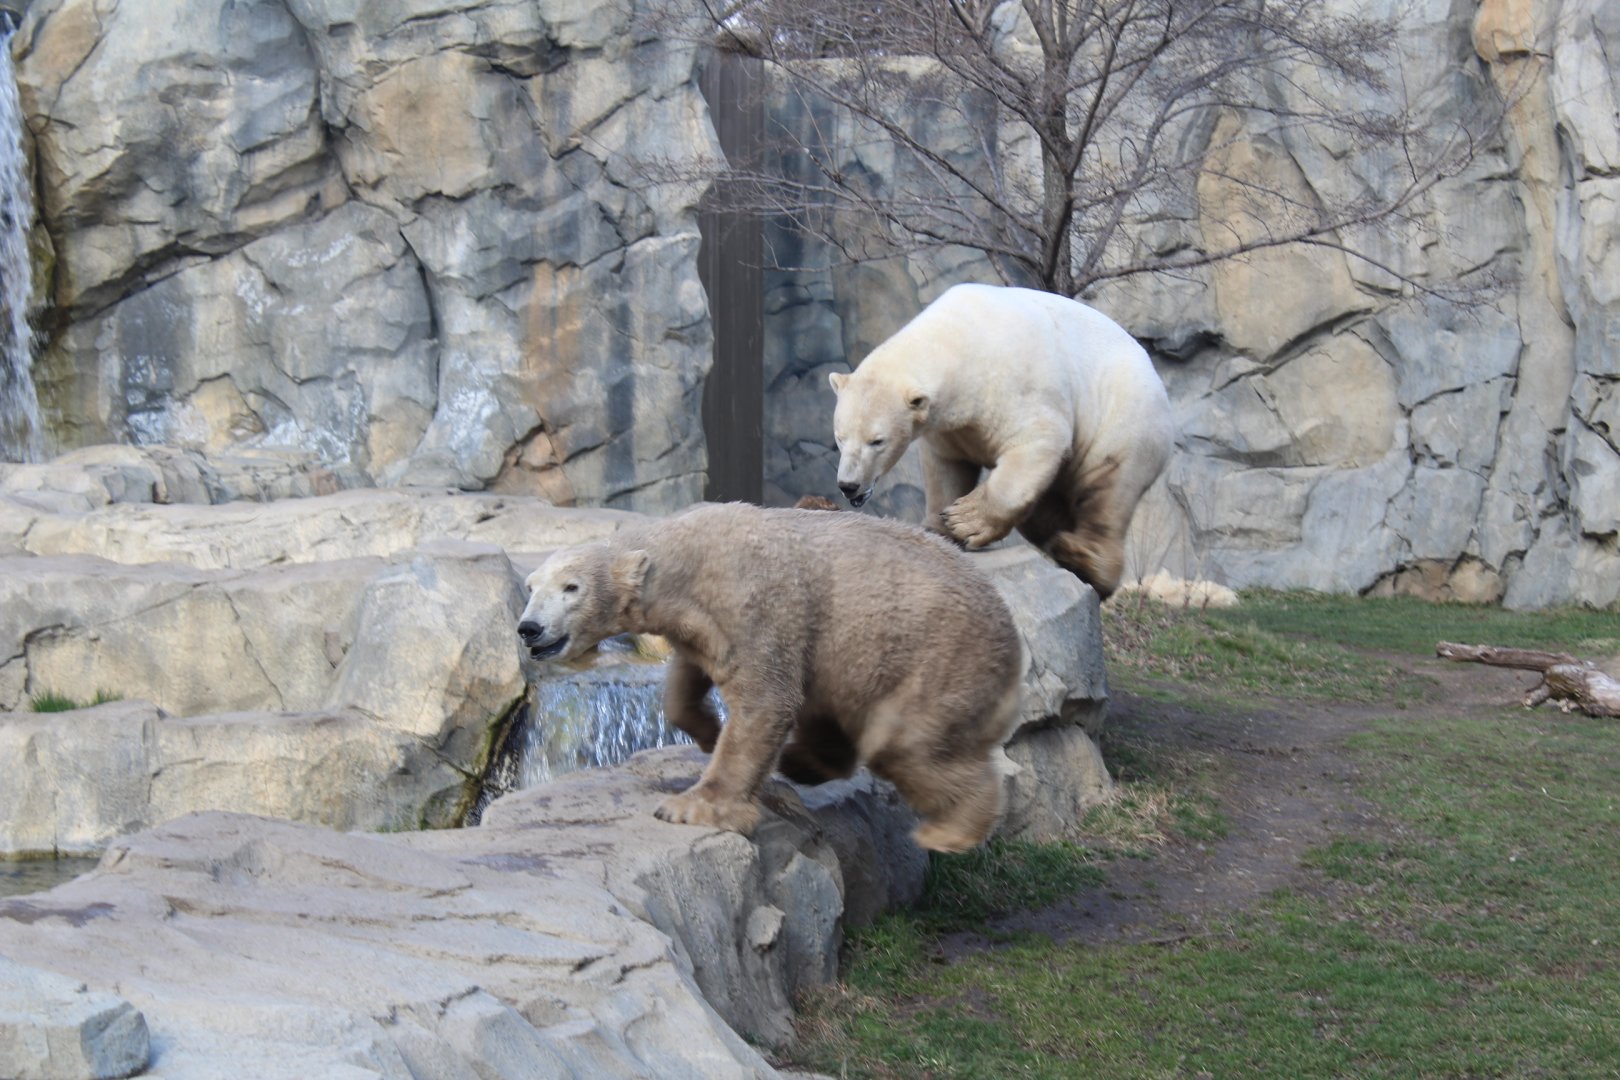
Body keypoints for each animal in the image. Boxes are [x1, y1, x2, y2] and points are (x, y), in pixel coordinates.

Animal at [516, 502, 1026, 853]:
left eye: (572, 587)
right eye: (530, 587)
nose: (529, 628)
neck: (687, 558)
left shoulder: (754, 602)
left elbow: (765, 698)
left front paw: (689, 807)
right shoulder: (702, 624)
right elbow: (688, 678)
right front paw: (707, 731)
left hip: (937, 659)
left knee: (909, 747)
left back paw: (950, 832)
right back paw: (802, 762)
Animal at [828, 282, 1174, 600]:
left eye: (877, 441)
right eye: (840, 438)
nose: (849, 485)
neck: (957, 336)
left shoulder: (1014, 384)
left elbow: (1039, 440)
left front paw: (964, 520)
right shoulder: (950, 426)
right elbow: (946, 467)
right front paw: (936, 529)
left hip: (1123, 417)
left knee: (1107, 490)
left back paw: (1082, 560)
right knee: (1046, 510)